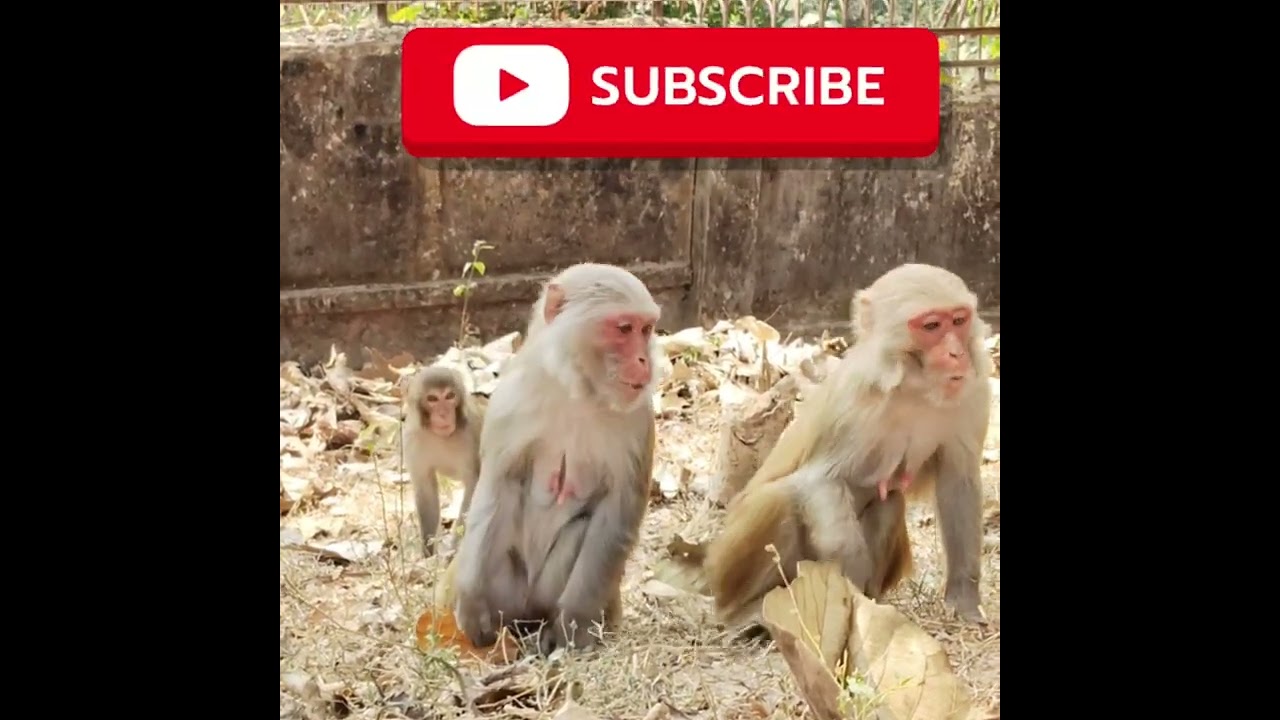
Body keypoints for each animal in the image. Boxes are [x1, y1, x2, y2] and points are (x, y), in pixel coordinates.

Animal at [402, 365, 484, 558]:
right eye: (432, 399)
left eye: (450, 396)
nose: (444, 414)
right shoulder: (412, 440)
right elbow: (426, 491)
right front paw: (428, 554)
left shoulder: (471, 434)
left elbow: (473, 485)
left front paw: (454, 550)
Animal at [451, 263, 659, 655]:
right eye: (625, 329)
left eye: (646, 329)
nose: (645, 360)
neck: (576, 389)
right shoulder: (510, 399)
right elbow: (497, 485)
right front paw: (470, 603)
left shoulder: (636, 420)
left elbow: (617, 510)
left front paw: (573, 627)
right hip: (512, 590)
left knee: (581, 532)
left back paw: (551, 630)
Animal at [702, 263, 993, 632]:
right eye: (931, 326)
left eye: (958, 320)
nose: (957, 354)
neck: (914, 386)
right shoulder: (853, 402)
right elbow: (820, 478)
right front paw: (849, 583)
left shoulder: (973, 390)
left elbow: (959, 484)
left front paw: (964, 600)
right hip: (725, 565)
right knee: (780, 500)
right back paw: (745, 613)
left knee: (888, 502)